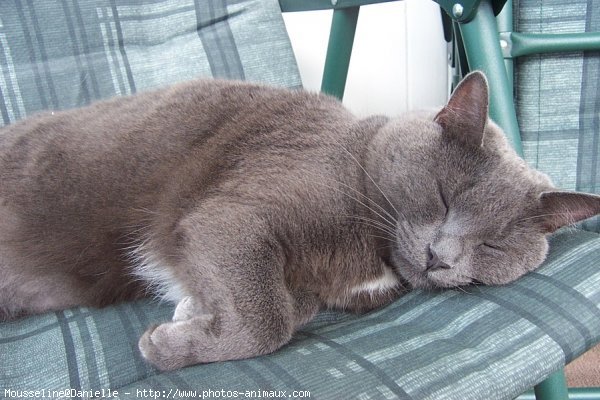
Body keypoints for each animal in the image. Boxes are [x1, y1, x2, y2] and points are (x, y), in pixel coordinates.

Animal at [1, 71, 600, 368]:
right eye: (443, 196)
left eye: (493, 247)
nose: (440, 258)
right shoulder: (233, 216)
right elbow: (269, 321)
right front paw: (165, 346)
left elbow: (286, 306)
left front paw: (191, 313)